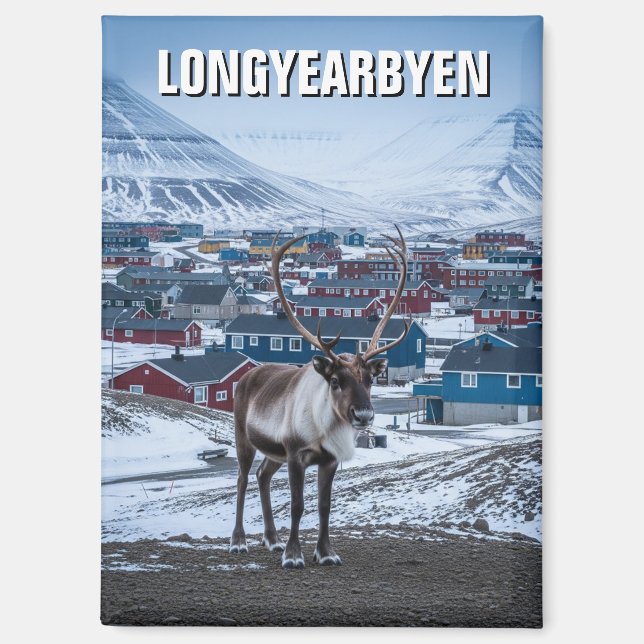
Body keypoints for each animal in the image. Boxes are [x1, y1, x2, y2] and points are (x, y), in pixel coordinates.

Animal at [229, 226, 409, 568]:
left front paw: (325, 553)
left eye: (370, 379)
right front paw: (292, 556)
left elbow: (325, 505)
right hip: (244, 439)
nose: (363, 415)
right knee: (243, 479)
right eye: (336, 381)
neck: (324, 429)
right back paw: (239, 541)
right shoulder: (295, 455)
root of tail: (247, 376)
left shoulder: (329, 461)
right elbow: (298, 504)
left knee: (262, 475)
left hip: (274, 453)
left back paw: (271, 539)